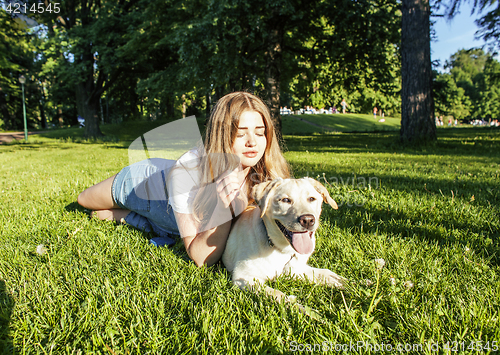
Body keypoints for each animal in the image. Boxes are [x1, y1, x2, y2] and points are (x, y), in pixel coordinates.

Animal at [221, 179, 346, 308]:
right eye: (285, 200)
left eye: (311, 198)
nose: (307, 220)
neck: (281, 250)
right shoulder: (244, 277)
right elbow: (278, 295)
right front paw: (299, 307)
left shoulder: (296, 270)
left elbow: (325, 273)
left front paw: (347, 283)